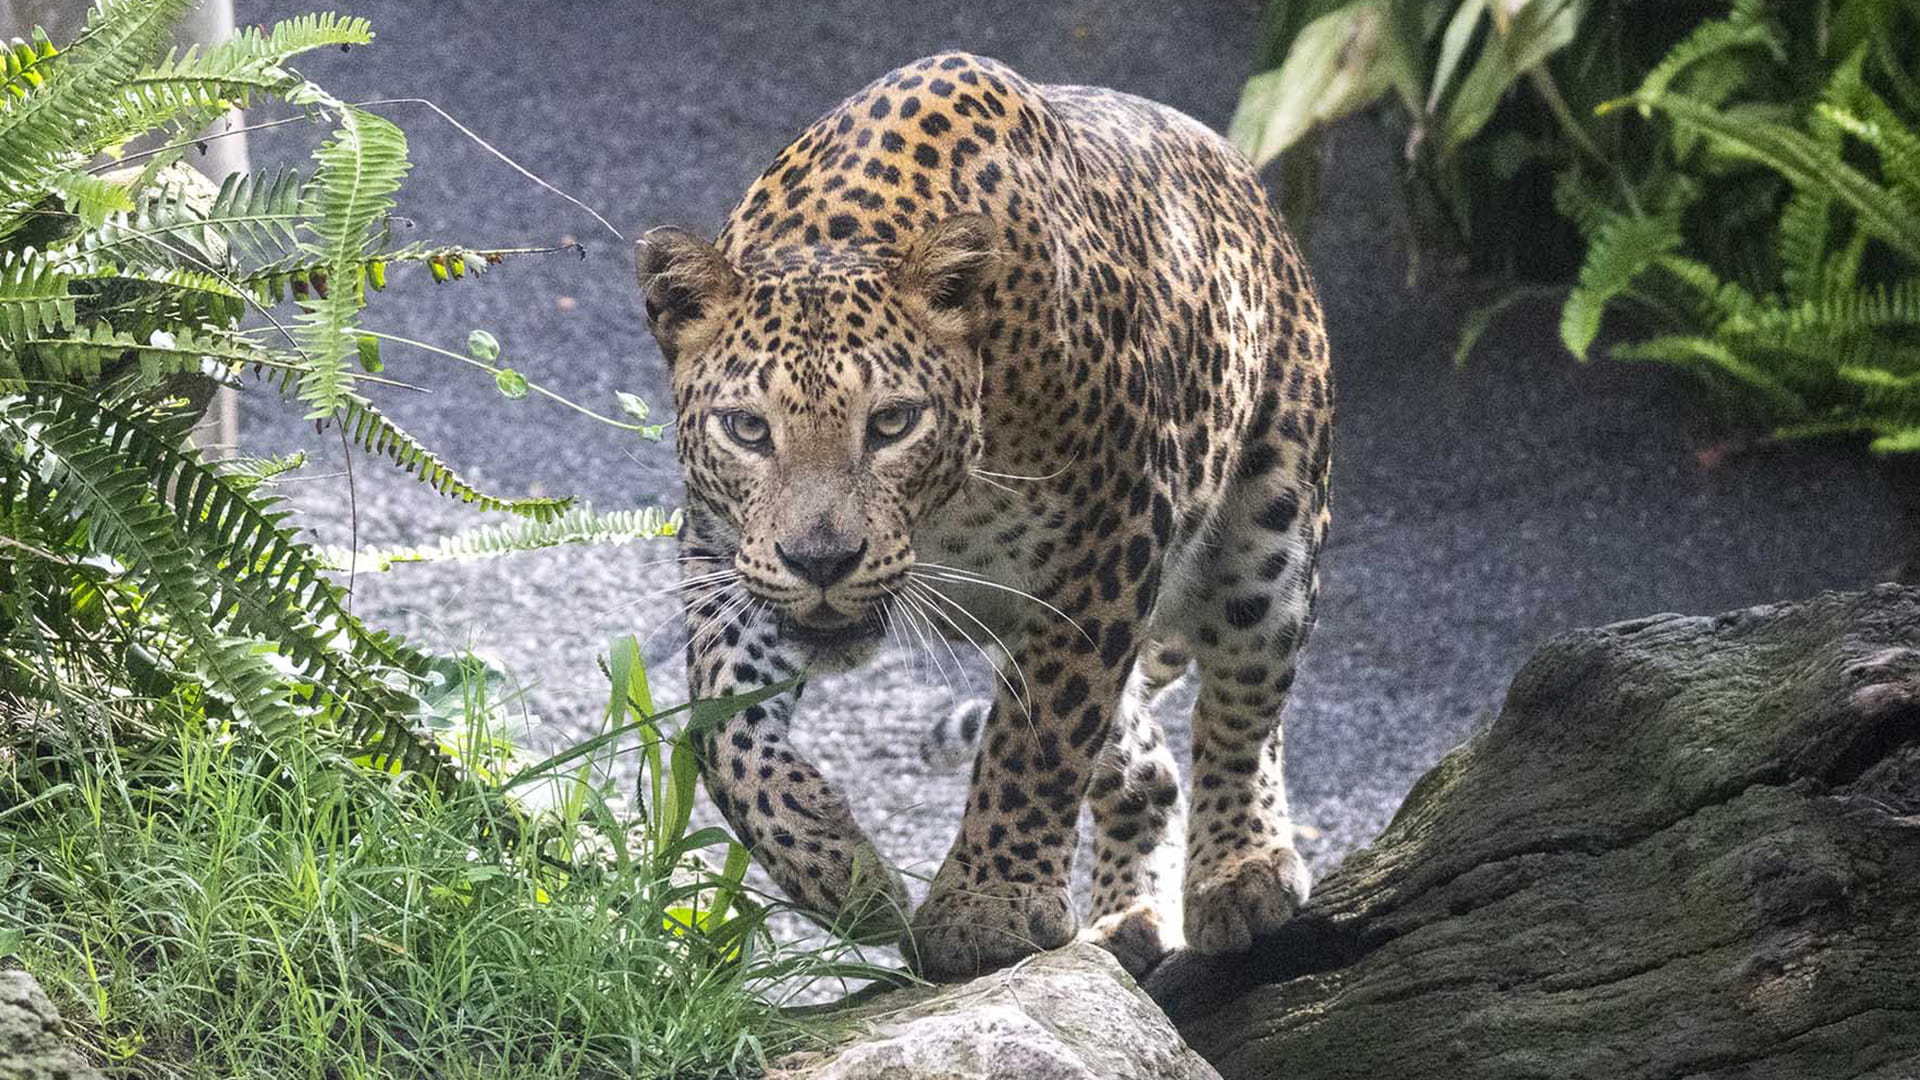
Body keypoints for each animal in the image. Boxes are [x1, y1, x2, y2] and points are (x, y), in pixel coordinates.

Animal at [635, 51, 1332, 983]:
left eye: (892, 423)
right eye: (748, 429)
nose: (822, 561)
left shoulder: (1107, 548)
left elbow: (1038, 743)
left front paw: (985, 906)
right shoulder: (727, 555)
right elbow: (722, 733)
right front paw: (843, 874)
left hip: (1270, 524)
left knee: (1244, 703)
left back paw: (1242, 869)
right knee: (1143, 758)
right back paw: (1127, 915)